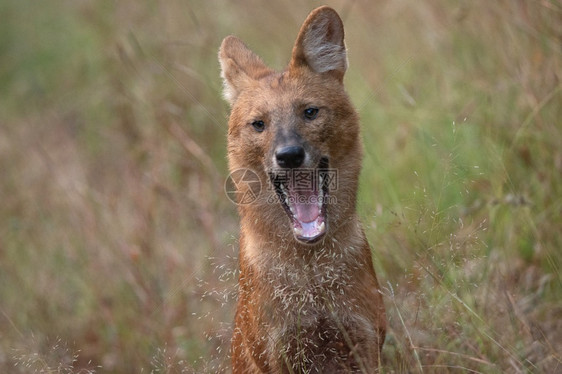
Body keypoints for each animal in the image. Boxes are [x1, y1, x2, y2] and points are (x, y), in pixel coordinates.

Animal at [219, 6, 384, 374]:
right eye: (259, 124)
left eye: (310, 112)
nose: (289, 155)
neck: (311, 274)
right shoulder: (277, 353)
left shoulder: (365, 340)